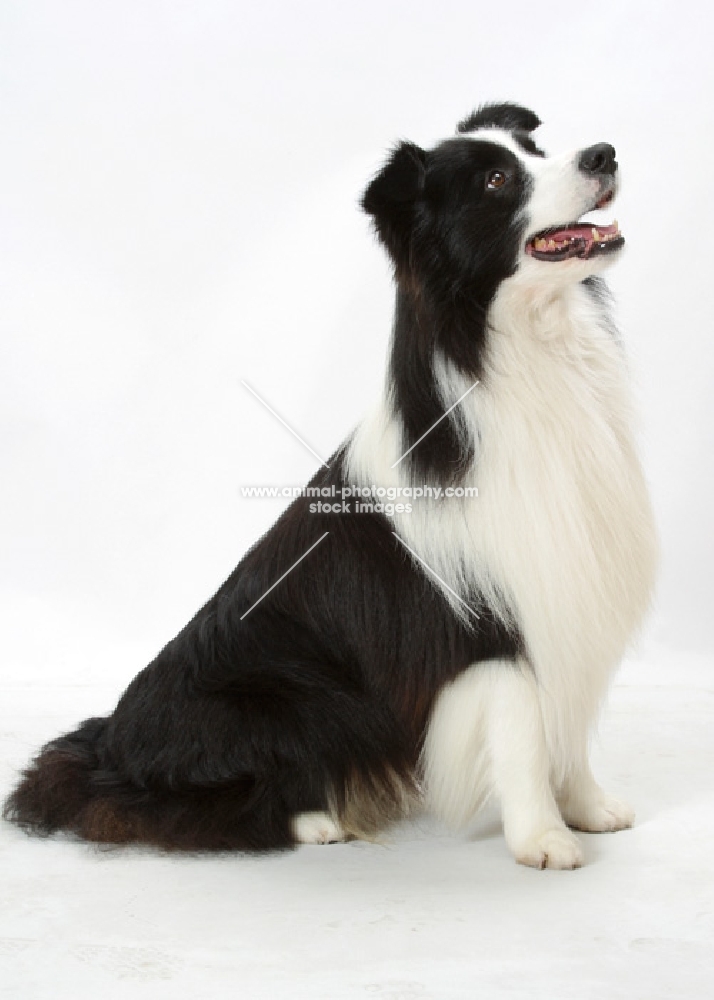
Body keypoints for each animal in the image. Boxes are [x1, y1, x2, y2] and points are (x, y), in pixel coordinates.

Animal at [4, 103, 656, 868]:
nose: (604, 154)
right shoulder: (489, 617)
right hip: (299, 699)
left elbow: (569, 723)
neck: (524, 349)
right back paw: (319, 820)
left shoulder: (570, 587)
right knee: (176, 809)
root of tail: (109, 744)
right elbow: (524, 731)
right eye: (496, 180)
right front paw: (544, 840)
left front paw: (588, 808)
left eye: (535, 146)